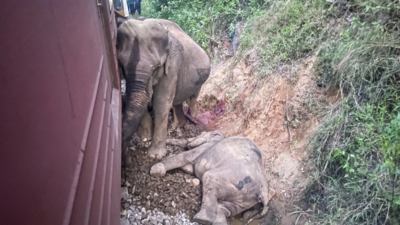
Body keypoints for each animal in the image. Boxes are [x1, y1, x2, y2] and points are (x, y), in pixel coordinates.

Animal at [117, 18, 211, 159]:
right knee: (177, 101)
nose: (124, 157)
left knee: (192, 98)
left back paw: (193, 117)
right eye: (122, 65)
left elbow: (161, 102)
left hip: (200, 78)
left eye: (156, 68)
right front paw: (145, 138)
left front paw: (155, 155)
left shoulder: (173, 63)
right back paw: (177, 126)